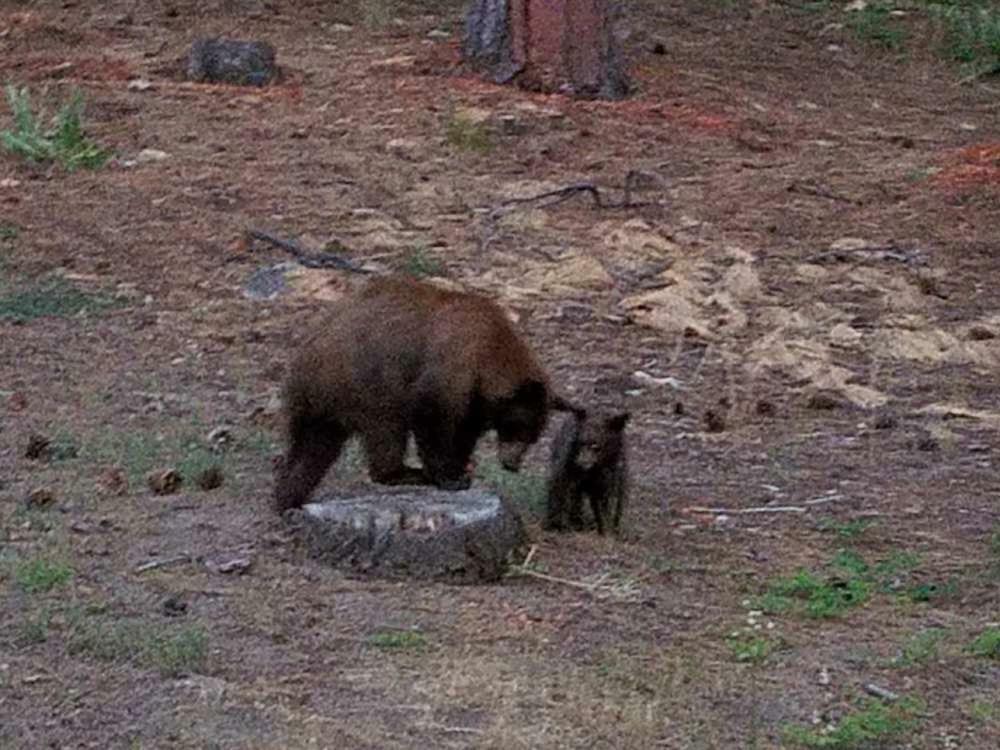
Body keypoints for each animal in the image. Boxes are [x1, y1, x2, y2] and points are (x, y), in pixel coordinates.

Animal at [274, 280, 572, 516]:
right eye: (518, 427)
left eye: (533, 436)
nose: (512, 464)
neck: (490, 354)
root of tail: (304, 356)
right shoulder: (450, 365)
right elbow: (431, 416)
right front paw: (448, 476)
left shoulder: (472, 398)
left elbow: (464, 429)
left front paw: (460, 467)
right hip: (366, 386)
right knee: (385, 431)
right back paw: (404, 472)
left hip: (318, 404)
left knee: (312, 449)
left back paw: (288, 498)